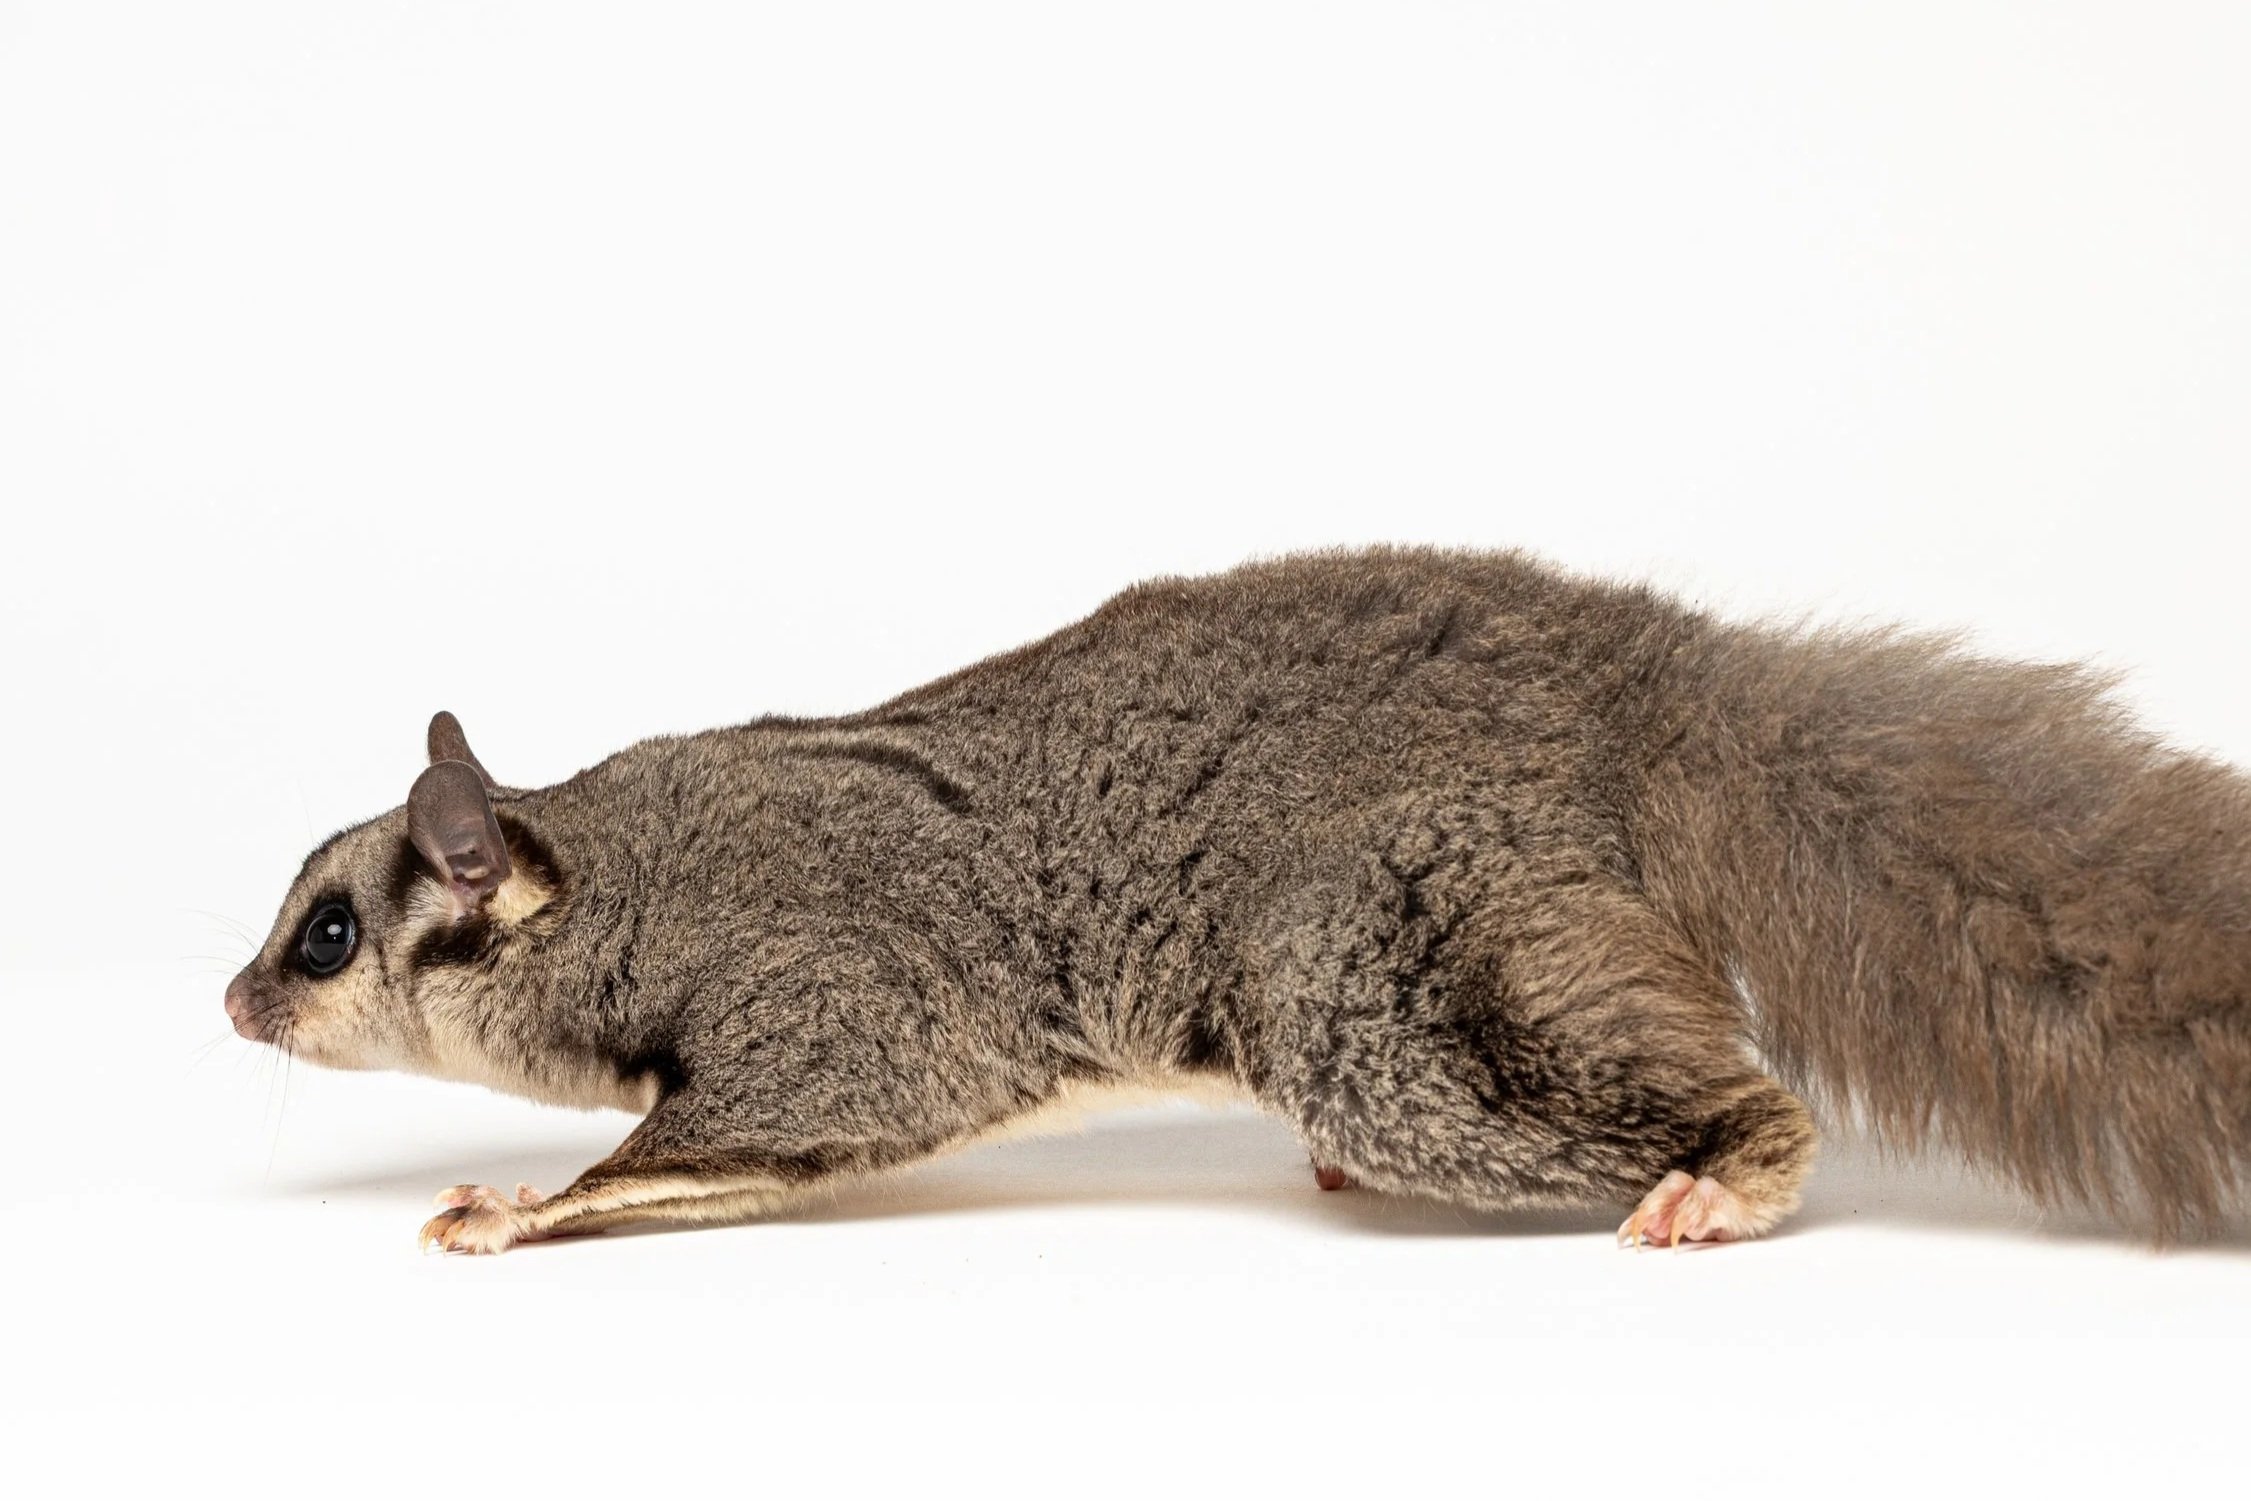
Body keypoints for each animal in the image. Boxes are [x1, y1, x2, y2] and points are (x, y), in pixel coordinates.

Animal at [224, 546, 2251, 1253]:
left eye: (325, 933)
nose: (233, 1004)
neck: (610, 877)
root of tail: (1642, 679)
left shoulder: (826, 975)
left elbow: (831, 1097)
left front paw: (520, 1201)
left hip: (1391, 941)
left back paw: (1730, 1168)